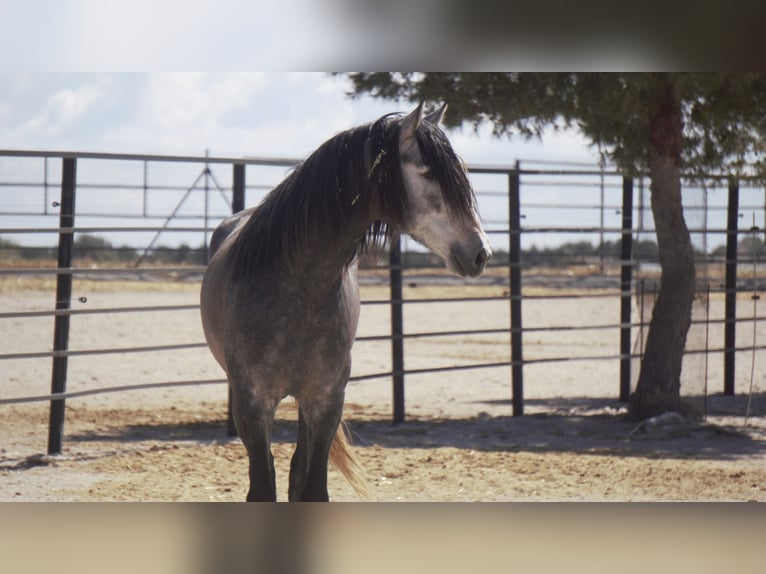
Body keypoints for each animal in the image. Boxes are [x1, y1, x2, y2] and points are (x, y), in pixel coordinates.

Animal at [201, 104, 492, 504]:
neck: (294, 289)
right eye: (428, 172)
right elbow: (262, 487)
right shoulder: (252, 407)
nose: (481, 253)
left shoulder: (326, 402)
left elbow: (312, 488)